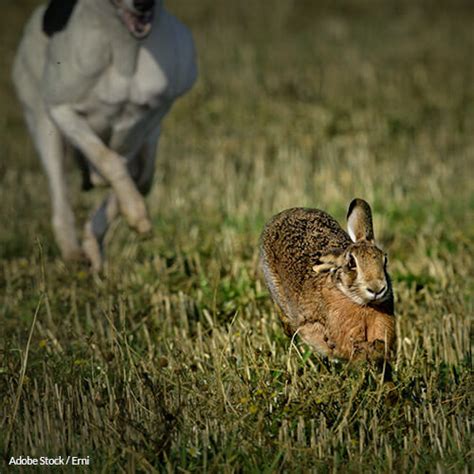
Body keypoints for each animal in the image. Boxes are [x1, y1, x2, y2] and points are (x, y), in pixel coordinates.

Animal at [12, 0, 196, 268]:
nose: (143, 4)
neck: (123, 46)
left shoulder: (155, 110)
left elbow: (128, 165)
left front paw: (131, 210)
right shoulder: (61, 110)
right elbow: (108, 159)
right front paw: (133, 208)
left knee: (141, 174)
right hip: (43, 125)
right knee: (61, 197)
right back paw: (73, 250)